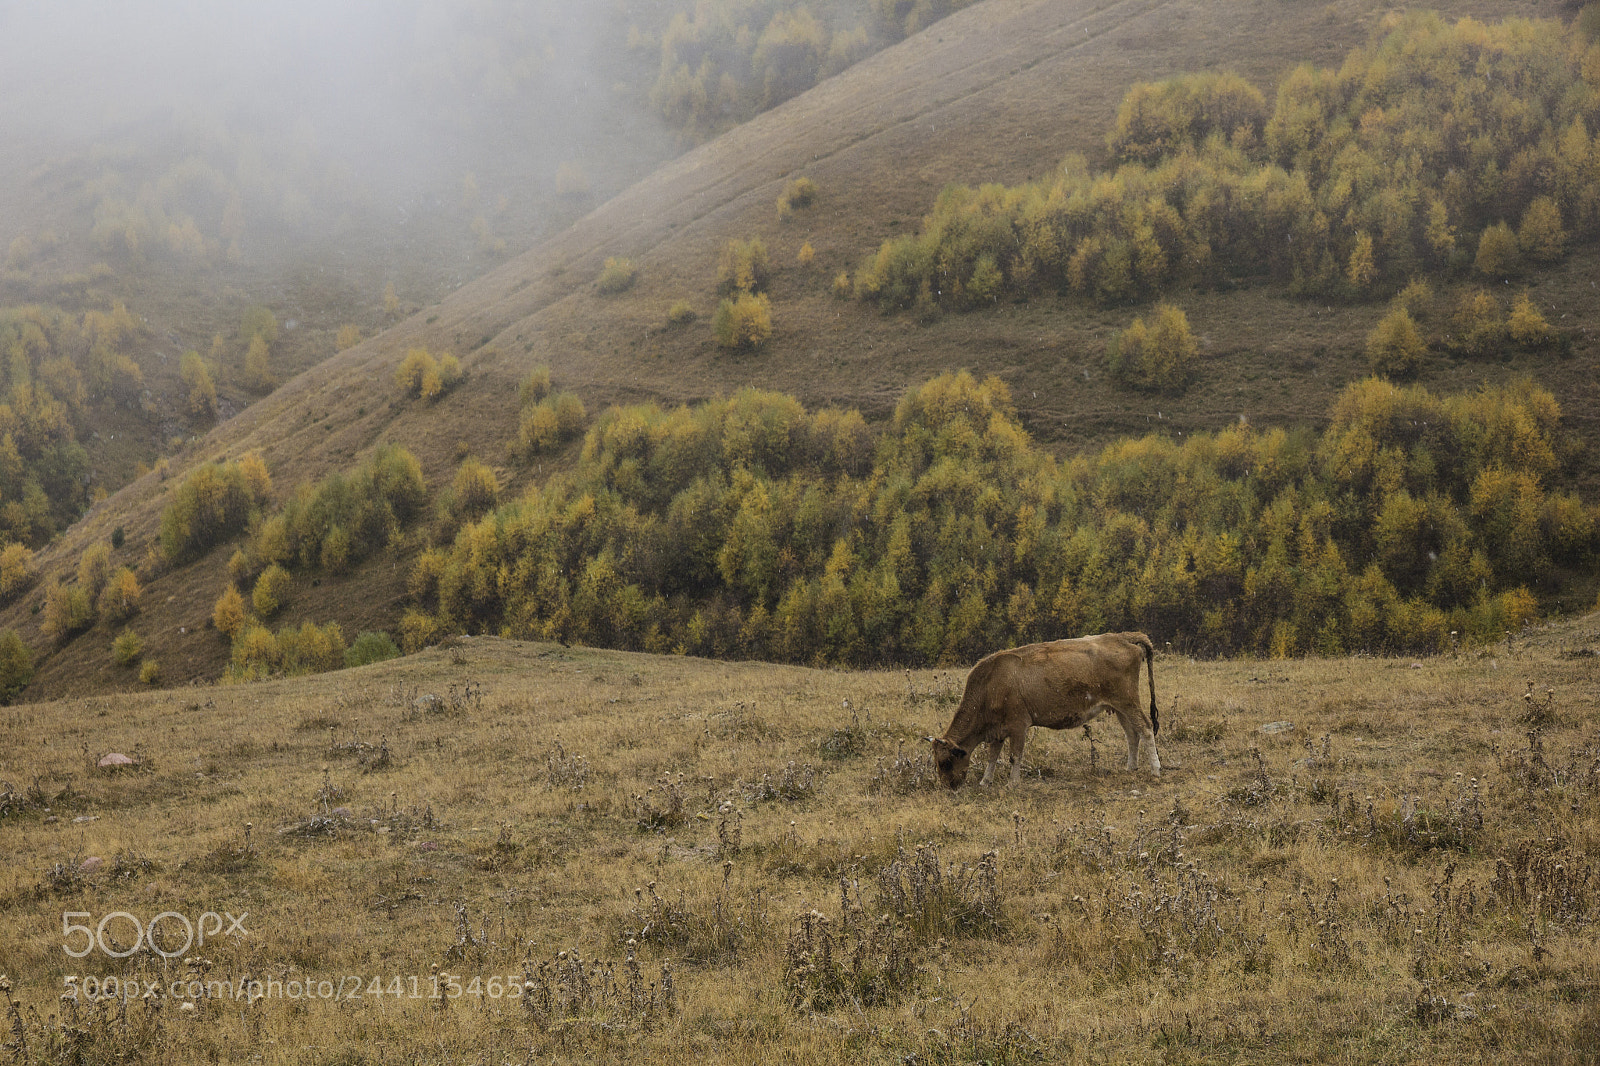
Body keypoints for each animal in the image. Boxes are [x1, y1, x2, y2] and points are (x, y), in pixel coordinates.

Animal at [928, 627, 1164, 784]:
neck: (991, 682)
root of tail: (1122, 637)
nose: (948, 787)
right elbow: (992, 756)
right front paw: (986, 782)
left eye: (946, 762)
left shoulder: (1018, 725)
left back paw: (1155, 769)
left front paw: (1013, 783)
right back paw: (1131, 767)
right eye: (937, 762)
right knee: (1132, 734)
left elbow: (1014, 755)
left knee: (1145, 728)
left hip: (1128, 701)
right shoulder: (997, 730)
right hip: (1119, 707)